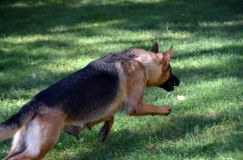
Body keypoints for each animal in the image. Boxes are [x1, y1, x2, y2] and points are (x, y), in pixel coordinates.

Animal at [0, 42, 178, 159]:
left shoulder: (108, 108)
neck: (141, 61)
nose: (179, 81)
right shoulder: (135, 105)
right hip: (40, 147)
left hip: (23, 146)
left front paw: (103, 133)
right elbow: (153, 108)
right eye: (169, 69)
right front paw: (166, 109)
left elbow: (110, 118)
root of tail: (34, 104)